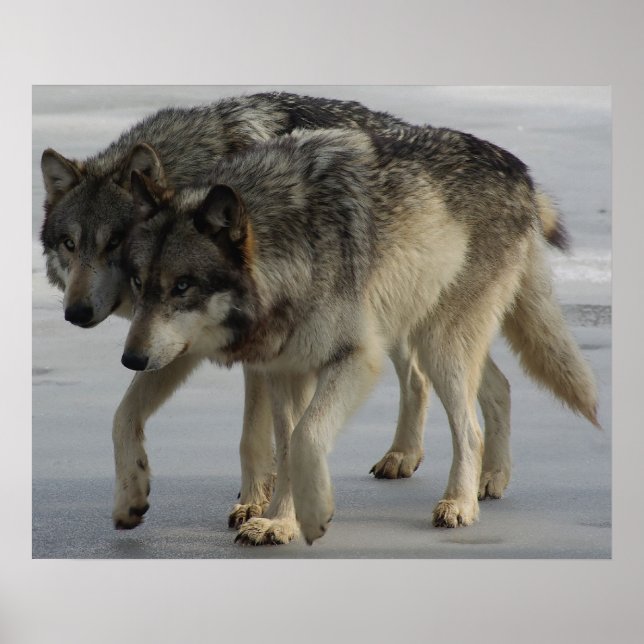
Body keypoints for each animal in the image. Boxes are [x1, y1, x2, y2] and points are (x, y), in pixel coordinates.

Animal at [40, 93, 567, 532]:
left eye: (113, 243)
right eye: (69, 244)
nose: (76, 312)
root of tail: (518, 168)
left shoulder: (290, 357)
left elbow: (269, 440)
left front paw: (258, 505)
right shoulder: (188, 345)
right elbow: (124, 415)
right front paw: (131, 496)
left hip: (435, 339)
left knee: (465, 417)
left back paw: (460, 498)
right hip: (417, 327)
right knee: (486, 385)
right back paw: (461, 470)